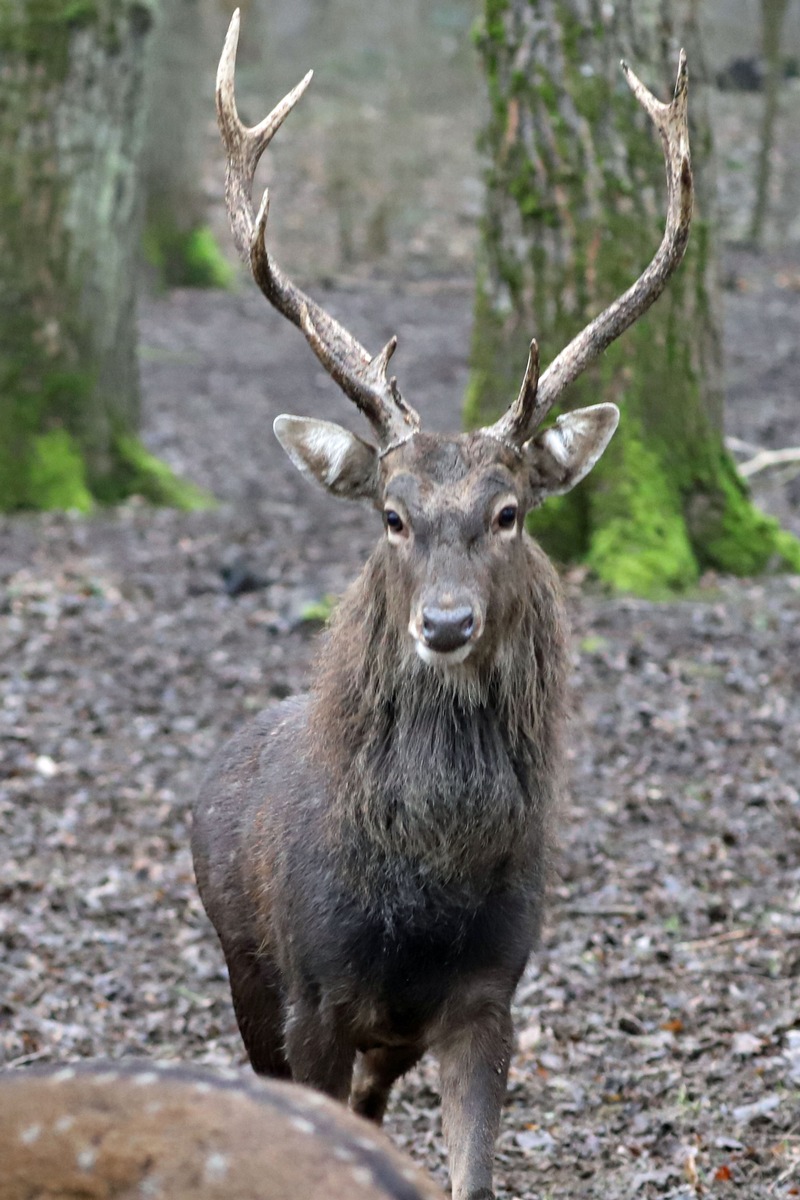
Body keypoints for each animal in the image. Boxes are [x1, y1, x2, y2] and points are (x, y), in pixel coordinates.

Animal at [190, 9, 690, 1200]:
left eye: (508, 512)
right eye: (391, 515)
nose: (448, 625)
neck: (422, 892)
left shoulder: (487, 998)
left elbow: (470, 1172)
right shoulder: (313, 996)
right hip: (244, 972)